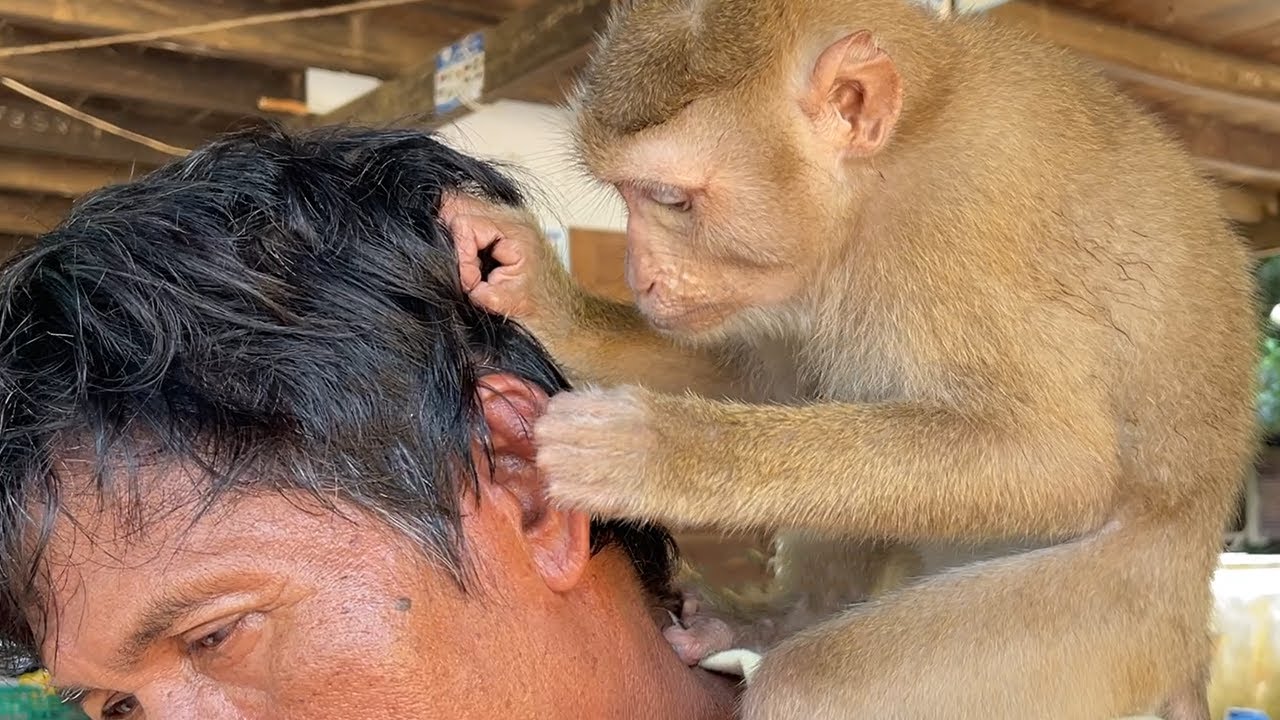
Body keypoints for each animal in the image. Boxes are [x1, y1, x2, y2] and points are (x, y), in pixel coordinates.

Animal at [444, 0, 1258, 717]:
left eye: (670, 199)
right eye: (625, 195)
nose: (639, 273)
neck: (878, 183)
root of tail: (1190, 631)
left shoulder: (957, 223)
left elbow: (1058, 460)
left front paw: (660, 452)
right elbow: (767, 385)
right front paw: (538, 290)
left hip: (1114, 623)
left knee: (815, 686)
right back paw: (779, 618)